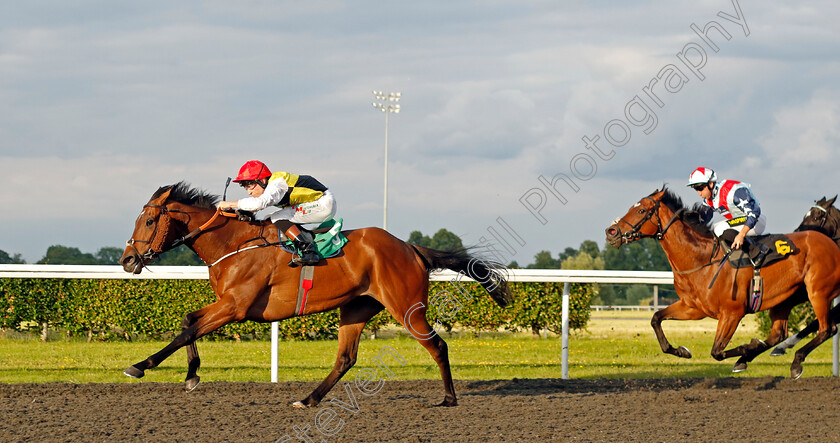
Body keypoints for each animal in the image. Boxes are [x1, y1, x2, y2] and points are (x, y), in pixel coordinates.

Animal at [120, 182, 512, 408]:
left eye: (150, 221)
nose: (127, 260)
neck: (233, 244)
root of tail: (411, 248)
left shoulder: (235, 306)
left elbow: (186, 331)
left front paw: (140, 365)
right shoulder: (227, 304)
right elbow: (188, 322)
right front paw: (191, 376)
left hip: (406, 307)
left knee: (437, 346)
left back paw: (448, 399)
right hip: (356, 308)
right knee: (345, 358)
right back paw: (308, 399)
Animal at [608, 187, 840, 378]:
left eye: (641, 211)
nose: (611, 232)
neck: (702, 259)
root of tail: (832, 244)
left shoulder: (732, 313)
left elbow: (717, 351)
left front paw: (748, 347)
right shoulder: (692, 308)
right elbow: (656, 319)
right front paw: (682, 351)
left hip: (817, 292)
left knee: (827, 329)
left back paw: (794, 362)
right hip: (787, 299)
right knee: (778, 335)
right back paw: (763, 354)